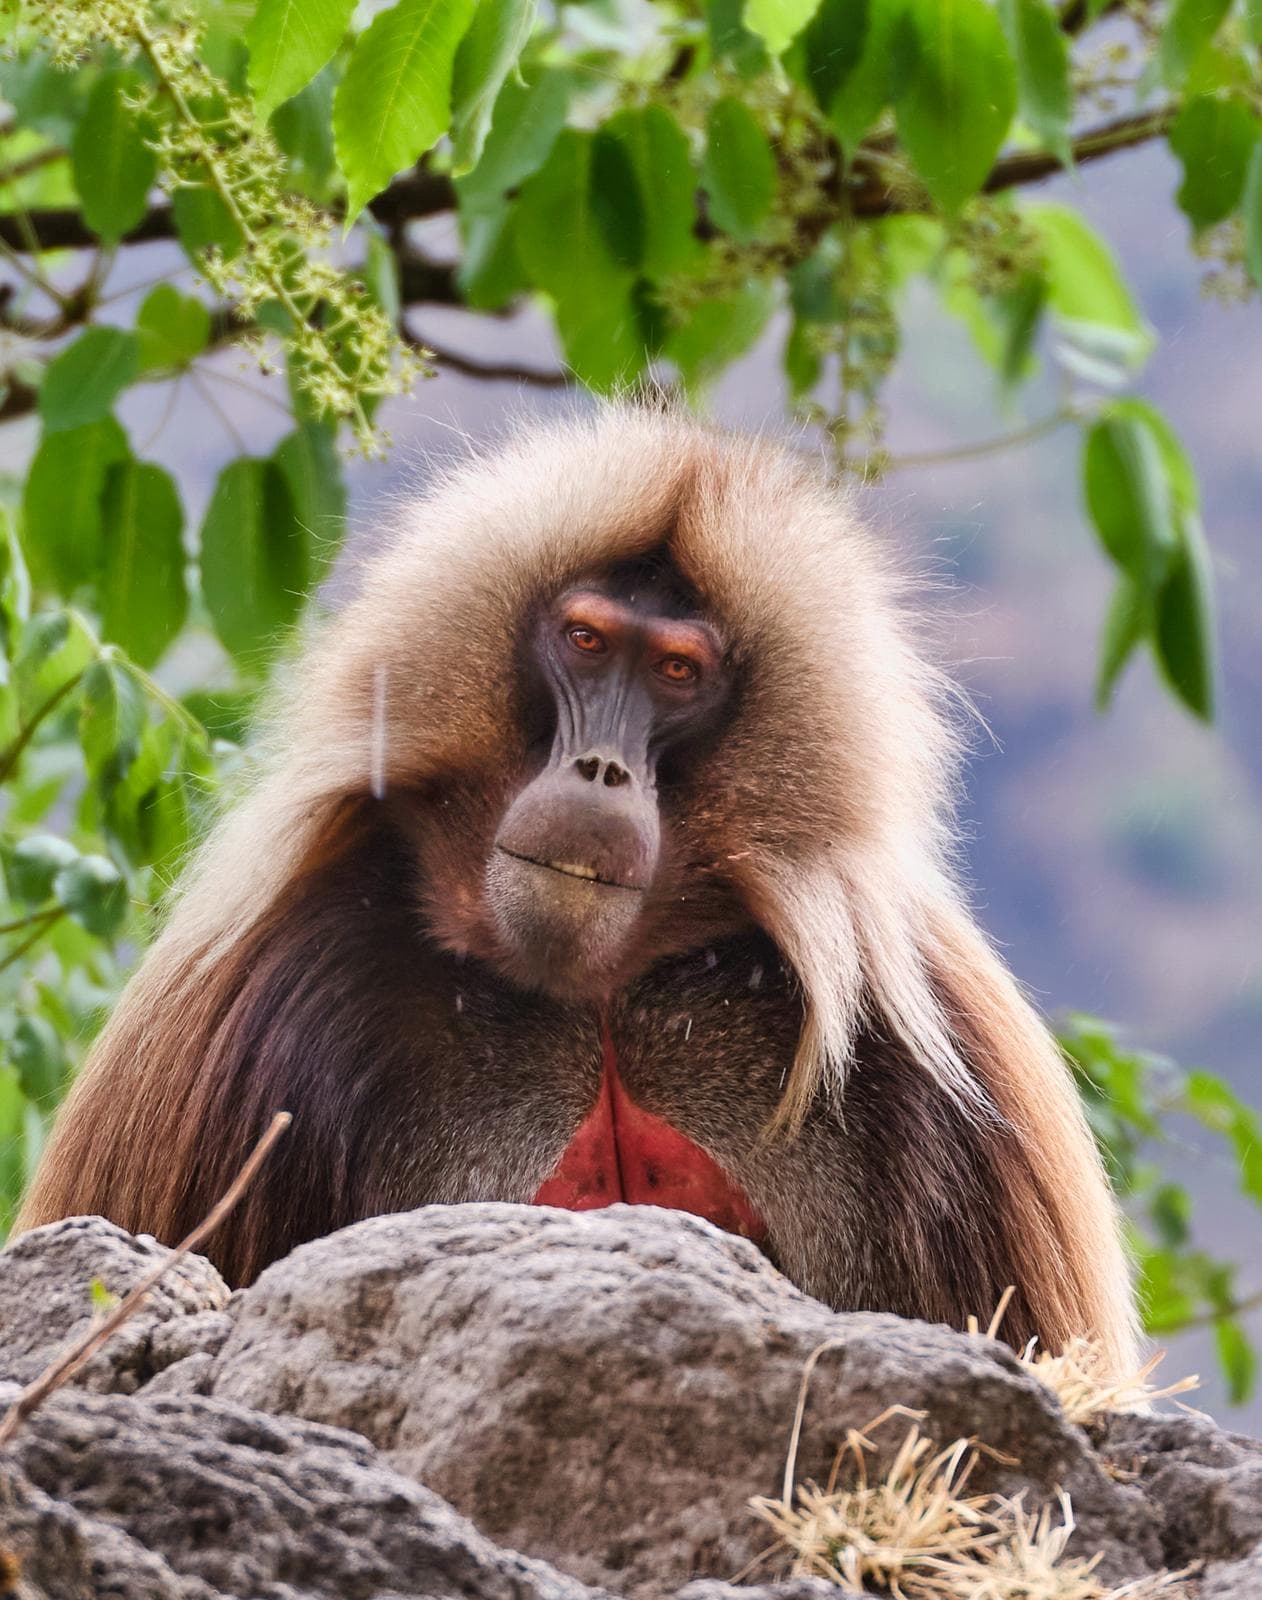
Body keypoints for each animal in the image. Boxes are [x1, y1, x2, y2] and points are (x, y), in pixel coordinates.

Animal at [14, 406, 1138, 1375]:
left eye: (678, 671)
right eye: (587, 642)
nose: (600, 771)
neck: (595, 991)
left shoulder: (946, 1054)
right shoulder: (256, 993)